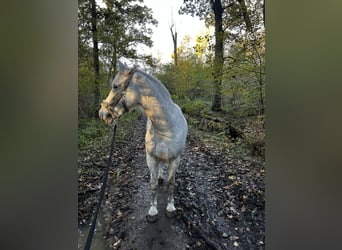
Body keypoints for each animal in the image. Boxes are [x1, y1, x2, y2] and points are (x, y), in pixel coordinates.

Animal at [97, 60, 188, 223]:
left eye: (115, 86)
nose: (103, 114)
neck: (167, 127)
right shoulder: (151, 158)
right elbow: (153, 184)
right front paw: (153, 211)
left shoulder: (175, 159)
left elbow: (171, 183)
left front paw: (171, 207)